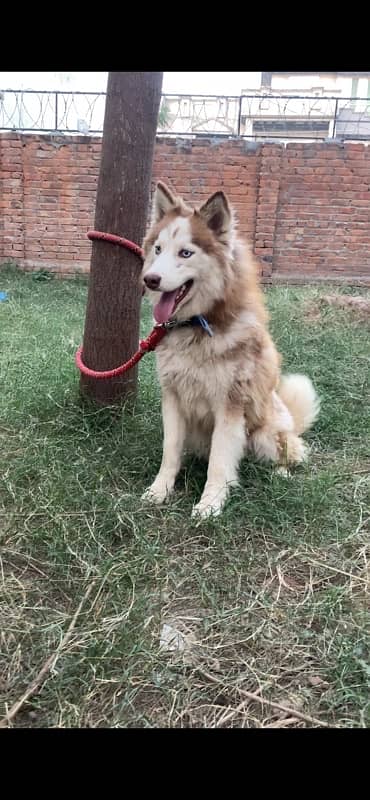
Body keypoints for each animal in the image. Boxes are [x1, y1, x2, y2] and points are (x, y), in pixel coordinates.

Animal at [139, 182, 318, 520]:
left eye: (185, 252)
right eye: (157, 249)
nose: (150, 280)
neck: (197, 327)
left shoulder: (230, 405)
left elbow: (220, 462)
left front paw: (210, 504)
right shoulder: (172, 398)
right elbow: (170, 452)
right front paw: (160, 491)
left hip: (265, 434)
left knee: (292, 454)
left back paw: (281, 473)